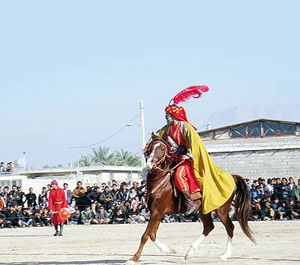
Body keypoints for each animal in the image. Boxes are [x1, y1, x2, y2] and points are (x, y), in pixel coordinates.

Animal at [125, 135, 254, 262]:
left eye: (162, 149)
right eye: (150, 148)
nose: (149, 163)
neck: (161, 181)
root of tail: (232, 177)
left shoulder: (156, 212)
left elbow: (145, 236)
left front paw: (134, 258)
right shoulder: (157, 213)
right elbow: (152, 235)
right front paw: (169, 250)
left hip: (221, 210)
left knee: (230, 227)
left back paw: (225, 255)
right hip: (204, 210)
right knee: (209, 227)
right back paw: (190, 253)